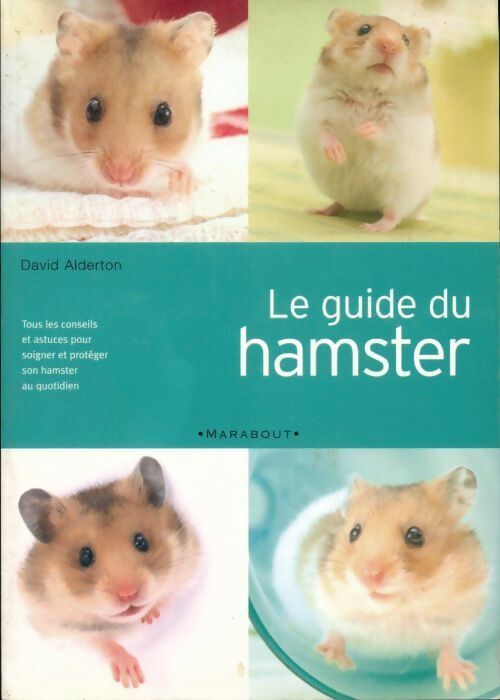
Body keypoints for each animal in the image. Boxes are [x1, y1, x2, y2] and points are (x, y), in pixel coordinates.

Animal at [18, 456, 200, 689]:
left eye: (142, 541)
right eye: (85, 556)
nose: (128, 594)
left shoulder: (189, 563)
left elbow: (166, 597)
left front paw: (149, 618)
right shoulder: (56, 626)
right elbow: (101, 641)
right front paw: (133, 680)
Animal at [293, 468, 488, 691]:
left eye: (415, 535)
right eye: (354, 532)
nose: (370, 575)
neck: (395, 610)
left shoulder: (462, 611)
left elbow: (450, 643)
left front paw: (463, 681)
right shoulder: (328, 601)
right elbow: (334, 629)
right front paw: (334, 660)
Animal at [296, 9, 438, 232]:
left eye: (405, 40)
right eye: (364, 29)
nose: (389, 46)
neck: (369, 87)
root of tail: (367, 205)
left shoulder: (403, 125)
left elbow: (384, 130)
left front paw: (361, 129)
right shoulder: (315, 112)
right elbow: (324, 131)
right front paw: (338, 154)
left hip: (402, 191)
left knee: (393, 215)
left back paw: (371, 227)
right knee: (341, 203)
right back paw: (320, 210)